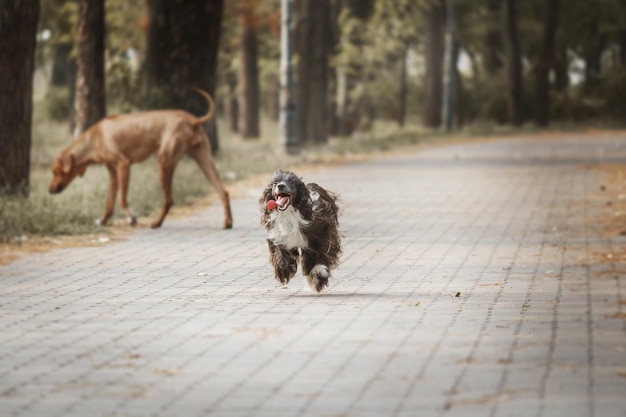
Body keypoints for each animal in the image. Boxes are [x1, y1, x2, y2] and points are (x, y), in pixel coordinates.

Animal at [49, 88, 232, 229]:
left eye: (55, 172)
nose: (50, 190)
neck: (93, 138)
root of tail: (193, 119)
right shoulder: (113, 173)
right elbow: (109, 203)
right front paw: (102, 221)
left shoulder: (123, 165)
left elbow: (122, 199)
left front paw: (131, 217)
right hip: (204, 161)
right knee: (223, 191)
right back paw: (227, 222)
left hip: (164, 162)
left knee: (169, 200)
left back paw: (157, 223)